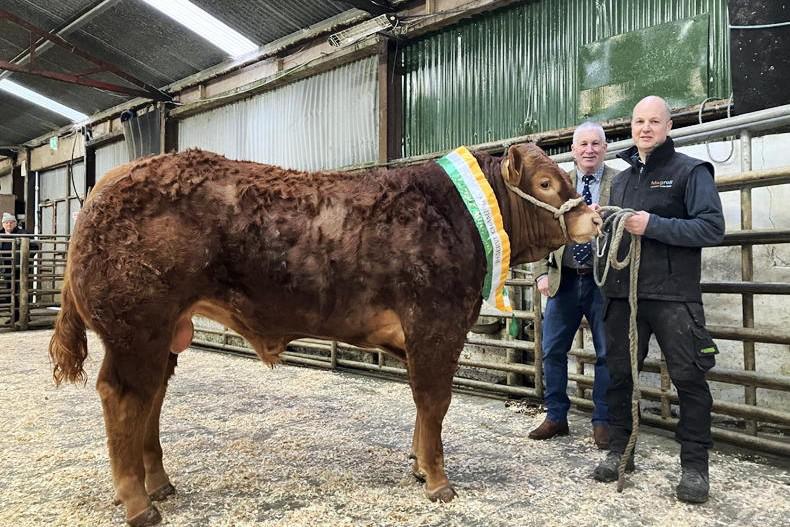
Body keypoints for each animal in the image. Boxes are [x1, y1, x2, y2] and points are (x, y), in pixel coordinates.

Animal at [49, 144, 601, 526]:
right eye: (547, 182)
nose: (594, 218)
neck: (454, 215)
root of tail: (105, 186)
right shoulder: (436, 325)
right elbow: (435, 401)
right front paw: (438, 481)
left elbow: (425, 406)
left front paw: (418, 466)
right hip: (135, 327)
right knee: (123, 396)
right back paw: (138, 503)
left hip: (163, 333)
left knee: (152, 398)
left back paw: (159, 484)